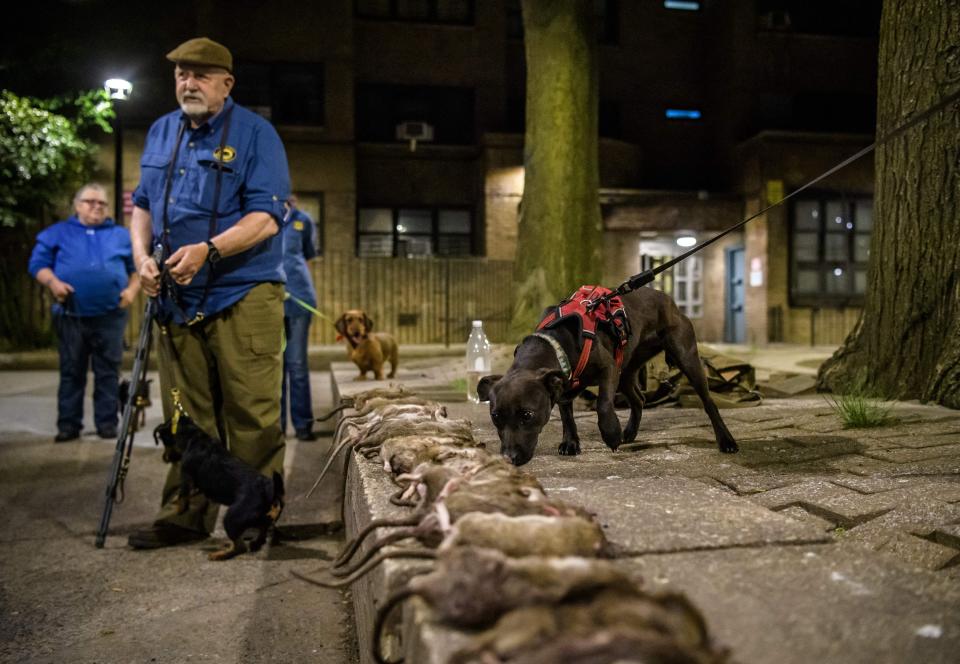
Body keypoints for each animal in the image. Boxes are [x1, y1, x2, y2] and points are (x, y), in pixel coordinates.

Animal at [155, 416, 284, 560]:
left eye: (164, 441)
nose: (164, 458)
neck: (194, 436)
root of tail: (271, 492)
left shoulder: (186, 474)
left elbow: (183, 493)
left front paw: (179, 507)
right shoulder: (199, 486)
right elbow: (190, 493)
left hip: (232, 518)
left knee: (240, 546)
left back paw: (220, 554)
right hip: (259, 518)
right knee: (263, 529)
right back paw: (255, 543)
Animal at [476, 286, 740, 466]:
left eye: (527, 415)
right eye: (495, 416)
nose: (508, 458)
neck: (556, 342)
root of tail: (668, 299)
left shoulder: (608, 369)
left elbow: (603, 404)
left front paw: (611, 433)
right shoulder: (565, 386)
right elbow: (567, 416)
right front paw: (570, 443)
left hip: (686, 357)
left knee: (709, 402)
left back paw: (726, 440)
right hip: (626, 370)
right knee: (639, 399)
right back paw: (630, 433)